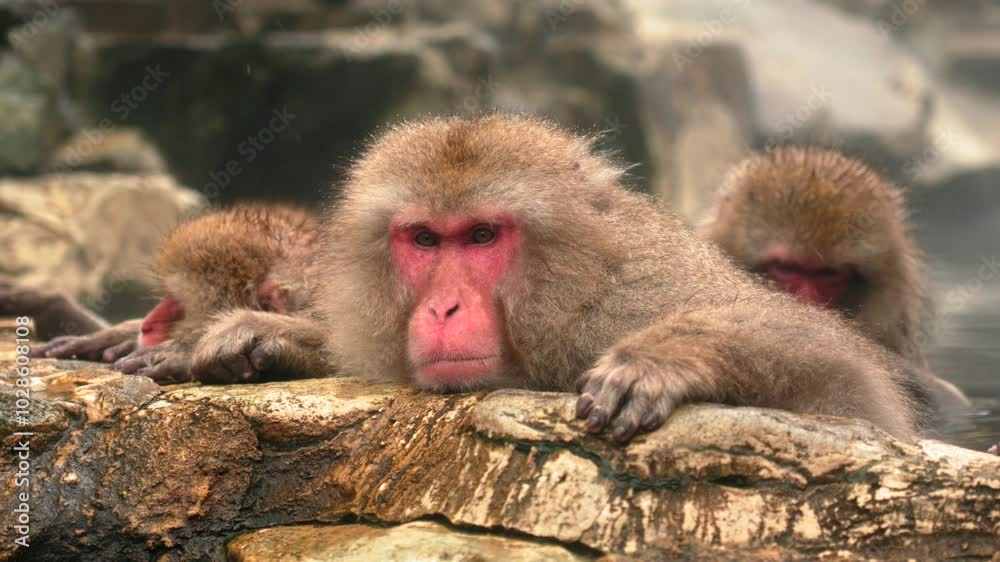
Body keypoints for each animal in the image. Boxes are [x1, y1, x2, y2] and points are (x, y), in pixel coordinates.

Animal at [188, 115, 921, 442]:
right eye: (424, 239)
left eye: (483, 236)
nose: (444, 310)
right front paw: (266, 336)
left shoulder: (633, 294)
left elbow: (843, 382)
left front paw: (663, 359)